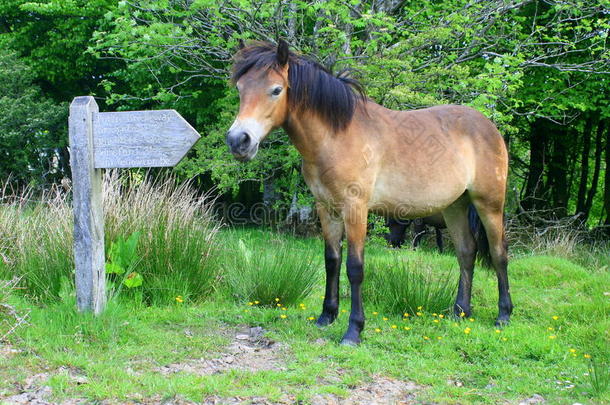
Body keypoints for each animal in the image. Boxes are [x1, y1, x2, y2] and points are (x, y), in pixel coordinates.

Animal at [226, 40, 510, 344]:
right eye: (240, 88)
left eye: (276, 90)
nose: (238, 141)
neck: (337, 137)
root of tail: (488, 126)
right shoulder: (326, 209)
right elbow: (332, 261)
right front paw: (326, 316)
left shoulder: (356, 209)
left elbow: (355, 267)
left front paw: (353, 330)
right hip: (455, 206)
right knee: (466, 252)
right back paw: (460, 312)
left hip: (489, 204)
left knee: (498, 253)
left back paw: (503, 315)